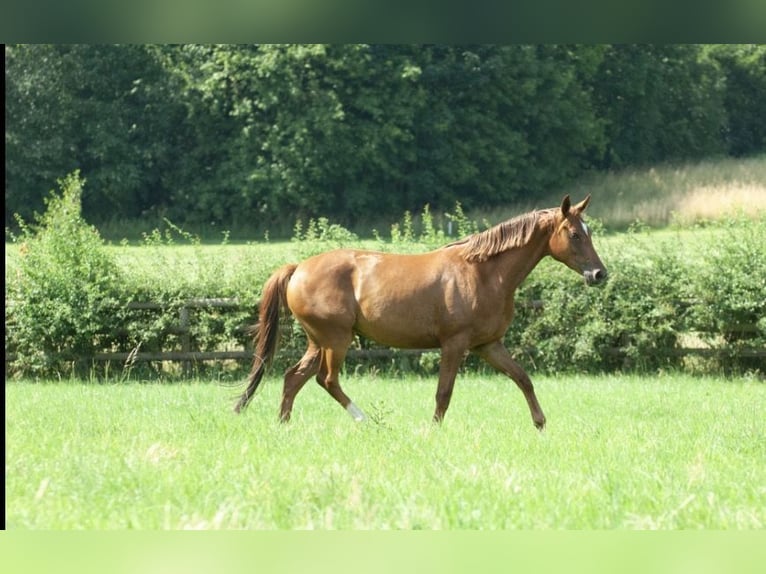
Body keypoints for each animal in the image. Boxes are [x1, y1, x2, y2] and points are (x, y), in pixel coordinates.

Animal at [235, 195, 607, 429]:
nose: (599, 274)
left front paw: (540, 424)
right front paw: (434, 430)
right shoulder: (455, 344)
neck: (483, 273)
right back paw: (365, 420)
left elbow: (523, 378)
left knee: (293, 378)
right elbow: (444, 393)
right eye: (575, 234)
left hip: (319, 342)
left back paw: (284, 425)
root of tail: (298, 268)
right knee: (326, 380)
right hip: (336, 341)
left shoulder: (489, 345)